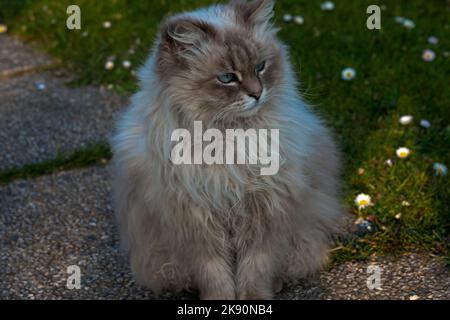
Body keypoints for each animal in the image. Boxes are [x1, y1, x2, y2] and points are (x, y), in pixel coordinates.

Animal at [112, 0, 344, 300]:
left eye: (260, 67)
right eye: (226, 78)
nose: (257, 94)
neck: (230, 140)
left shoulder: (264, 211)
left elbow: (255, 268)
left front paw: (253, 299)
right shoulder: (196, 222)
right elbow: (215, 275)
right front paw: (220, 300)